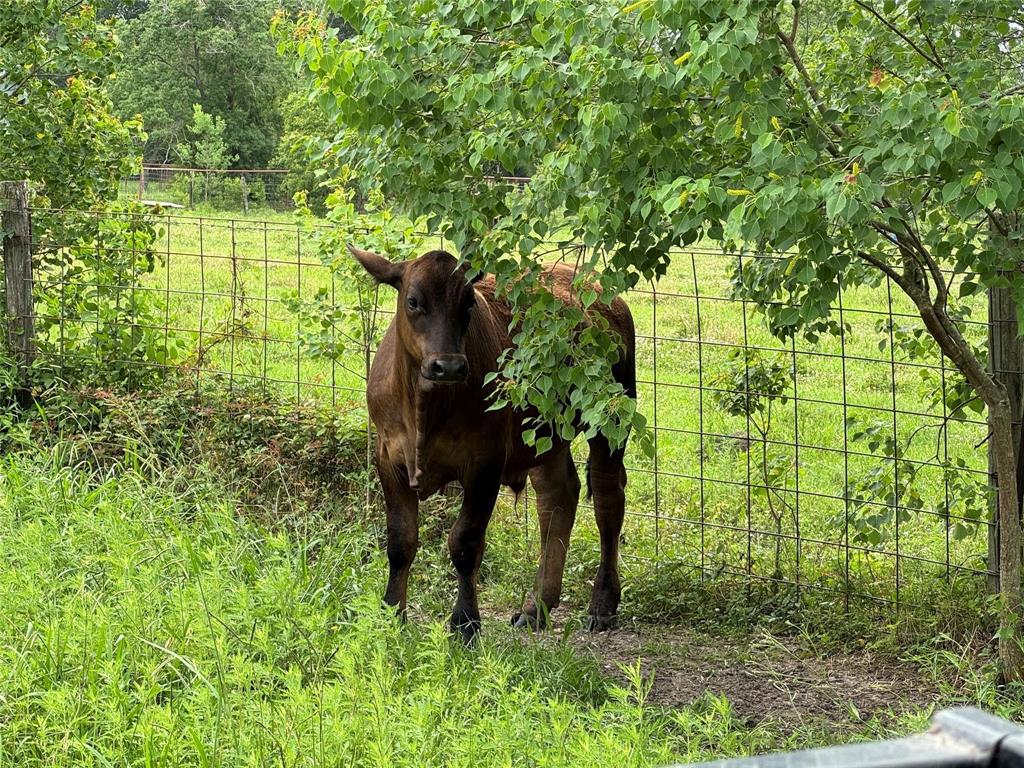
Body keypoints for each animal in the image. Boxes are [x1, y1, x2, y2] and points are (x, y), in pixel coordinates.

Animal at [354, 246, 638, 643]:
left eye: (469, 303)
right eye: (413, 301)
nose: (448, 366)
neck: (423, 408)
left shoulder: (484, 462)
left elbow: (465, 543)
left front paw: (465, 623)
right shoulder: (388, 457)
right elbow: (400, 540)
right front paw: (392, 613)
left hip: (611, 419)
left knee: (608, 500)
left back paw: (602, 604)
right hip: (543, 436)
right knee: (557, 498)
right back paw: (537, 606)